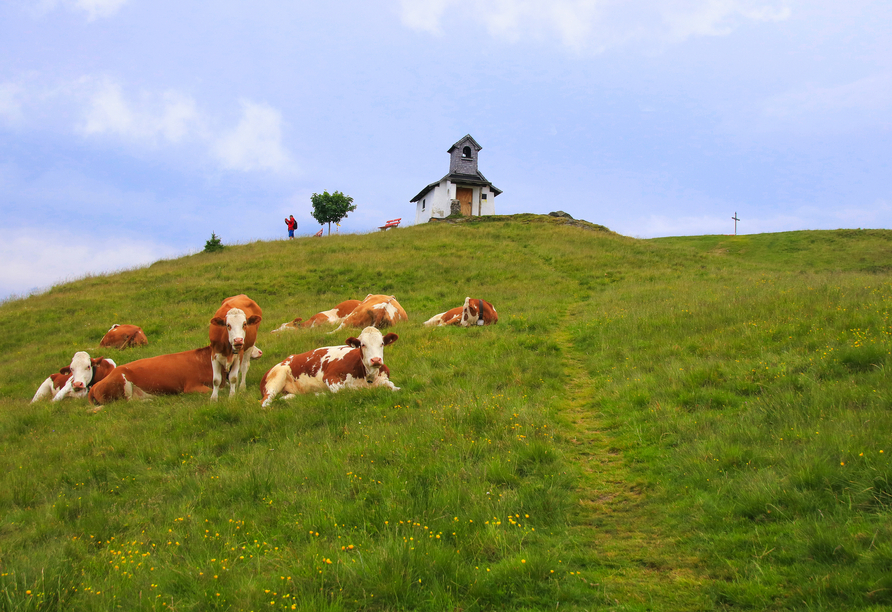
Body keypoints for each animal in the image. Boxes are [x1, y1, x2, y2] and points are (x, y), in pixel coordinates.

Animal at [258, 326, 398, 406]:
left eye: (382, 343)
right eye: (363, 344)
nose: (376, 360)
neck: (367, 376)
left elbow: (393, 388)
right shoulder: (330, 377)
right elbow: (345, 391)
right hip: (276, 378)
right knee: (265, 401)